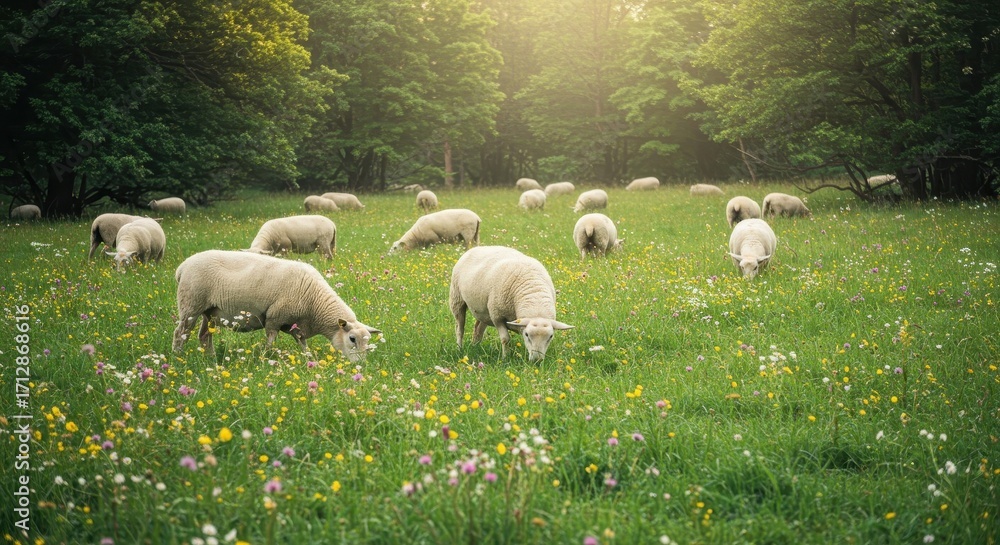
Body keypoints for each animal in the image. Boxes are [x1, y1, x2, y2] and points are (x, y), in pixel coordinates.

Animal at [172, 250, 380, 360]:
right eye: (352, 339)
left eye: (368, 341)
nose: (360, 365)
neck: (315, 302)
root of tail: (182, 267)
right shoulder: (274, 318)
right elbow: (271, 341)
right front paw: (265, 358)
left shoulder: (296, 325)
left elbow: (302, 343)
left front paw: (309, 360)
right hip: (191, 304)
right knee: (180, 333)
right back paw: (177, 357)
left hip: (210, 311)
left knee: (204, 335)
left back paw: (211, 358)